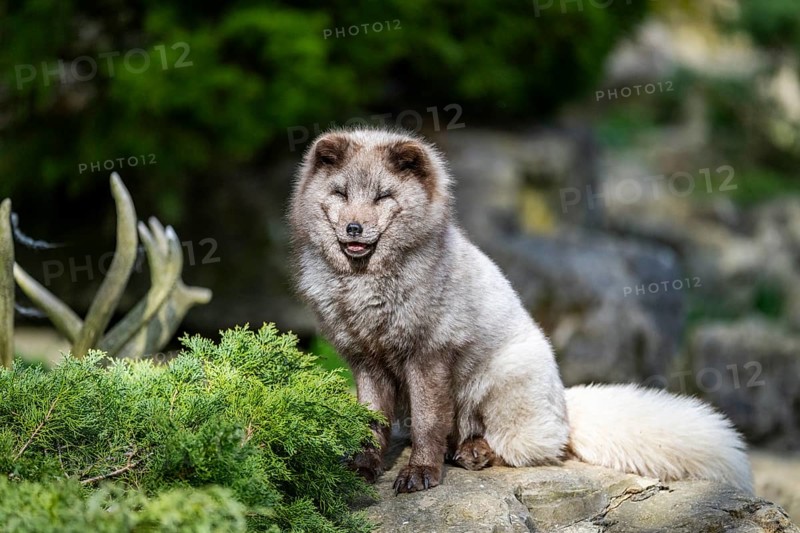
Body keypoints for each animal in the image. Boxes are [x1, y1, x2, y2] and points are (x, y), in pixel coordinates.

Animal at [288, 127, 753, 495]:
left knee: (532, 446)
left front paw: (420, 472)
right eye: (341, 193)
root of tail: (564, 403)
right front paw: (363, 467)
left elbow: (427, 423)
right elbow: (371, 424)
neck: (365, 287)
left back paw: (474, 452)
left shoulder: (429, 356)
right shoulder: (366, 361)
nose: (354, 228)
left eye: (383, 197)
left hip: (499, 383)